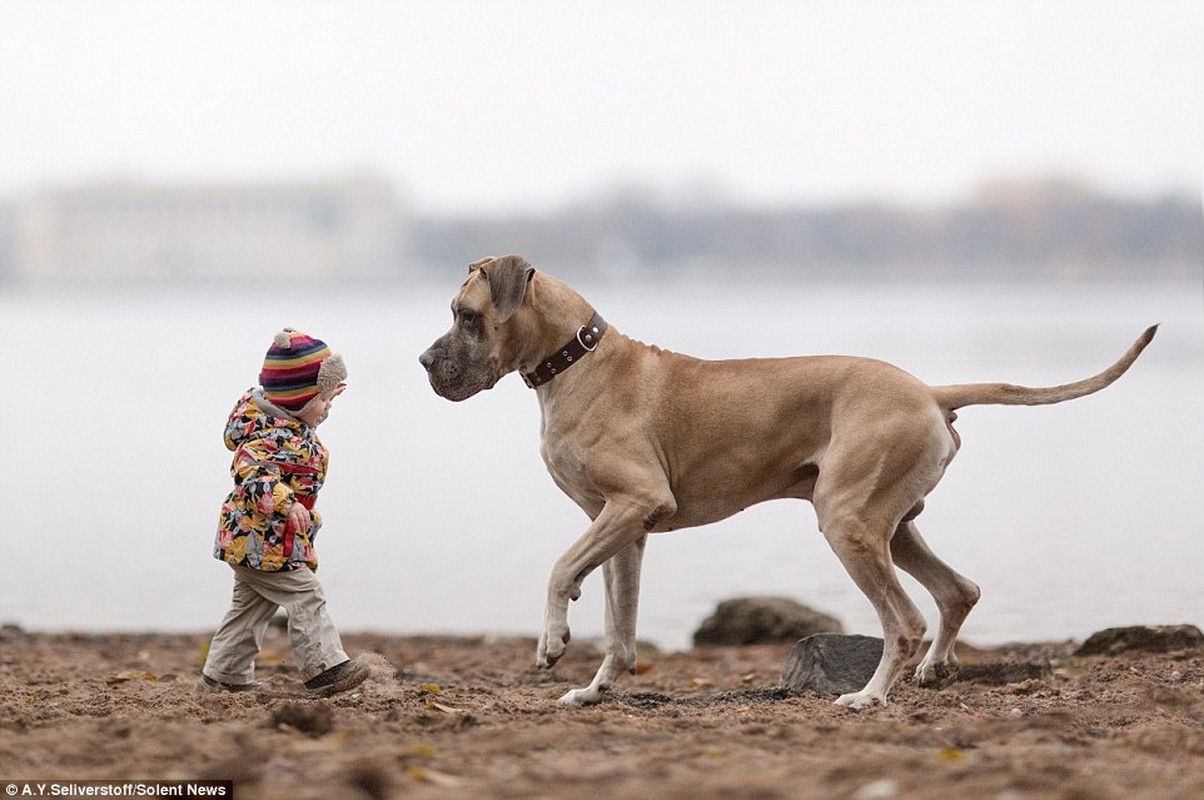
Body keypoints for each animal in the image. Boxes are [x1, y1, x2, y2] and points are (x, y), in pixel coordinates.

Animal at [418, 254, 1151, 708]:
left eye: (466, 315)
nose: (424, 361)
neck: (575, 359)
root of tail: (927, 390)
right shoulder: (625, 528)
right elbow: (620, 630)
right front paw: (594, 689)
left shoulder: (633, 505)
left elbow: (557, 568)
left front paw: (550, 639)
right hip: (890, 526)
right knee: (957, 591)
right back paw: (932, 669)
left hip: (849, 525)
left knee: (905, 618)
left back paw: (870, 696)